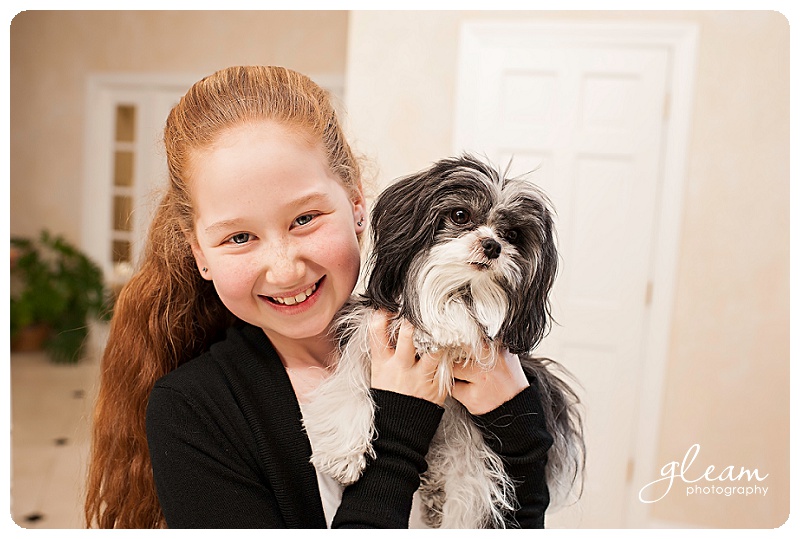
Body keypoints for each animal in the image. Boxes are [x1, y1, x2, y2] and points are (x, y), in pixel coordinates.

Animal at [304, 155, 584, 528]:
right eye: (461, 216)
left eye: (512, 234)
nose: (493, 246)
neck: (457, 291)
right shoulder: (365, 338)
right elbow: (348, 386)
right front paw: (343, 455)